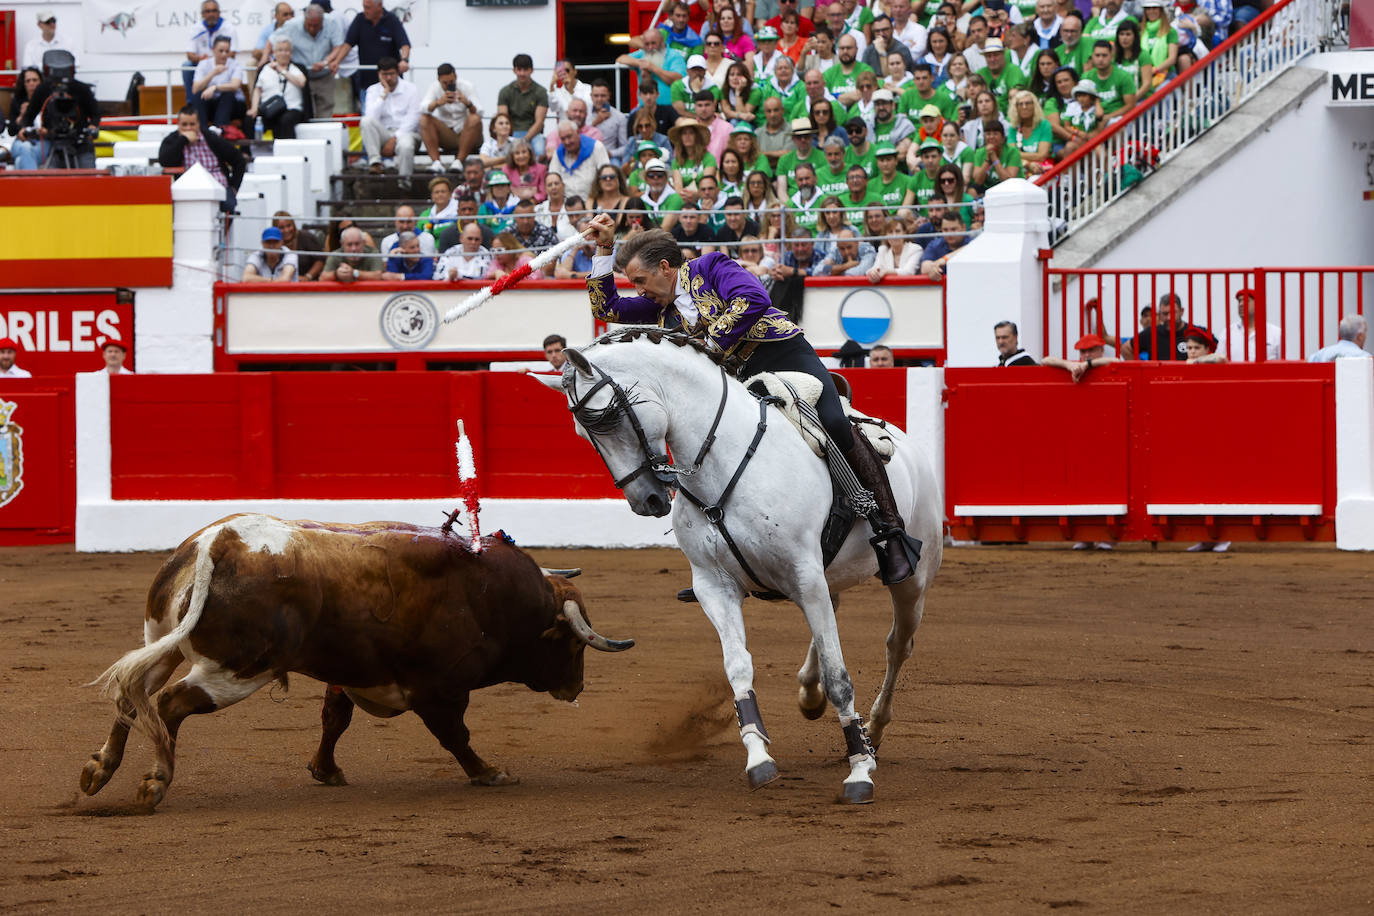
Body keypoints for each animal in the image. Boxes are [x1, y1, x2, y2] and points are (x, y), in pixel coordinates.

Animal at [80, 516, 629, 807]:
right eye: (574, 645)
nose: (576, 688)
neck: (489, 597)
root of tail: (223, 540)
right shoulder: (439, 690)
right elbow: (455, 736)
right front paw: (489, 773)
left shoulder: (349, 675)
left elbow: (334, 719)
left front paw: (325, 771)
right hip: (236, 670)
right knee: (169, 704)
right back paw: (154, 784)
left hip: (163, 640)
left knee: (133, 697)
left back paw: (98, 770)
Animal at [541, 329, 939, 802]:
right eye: (584, 432)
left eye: (610, 417)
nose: (648, 500)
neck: (723, 462)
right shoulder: (716, 587)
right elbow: (738, 667)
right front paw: (759, 758)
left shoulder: (804, 576)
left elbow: (840, 674)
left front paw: (859, 770)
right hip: (828, 575)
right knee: (835, 618)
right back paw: (810, 695)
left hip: (912, 580)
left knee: (898, 645)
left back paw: (873, 732)